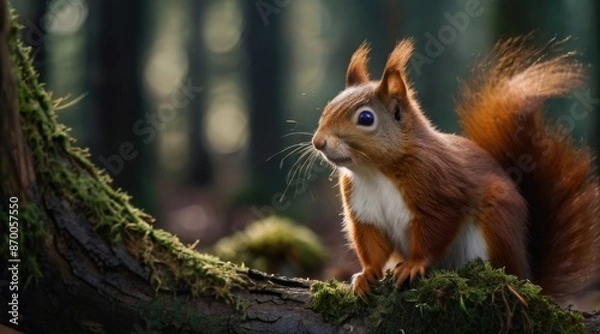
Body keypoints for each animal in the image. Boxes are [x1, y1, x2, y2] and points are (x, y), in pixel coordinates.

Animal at [312, 37, 600, 306]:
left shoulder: (439, 188)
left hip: (496, 224)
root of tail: (528, 276)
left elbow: (436, 228)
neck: (376, 171)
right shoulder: (364, 211)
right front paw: (366, 275)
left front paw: (414, 265)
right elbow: (371, 244)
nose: (318, 142)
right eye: (327, 109)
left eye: (366, 118)